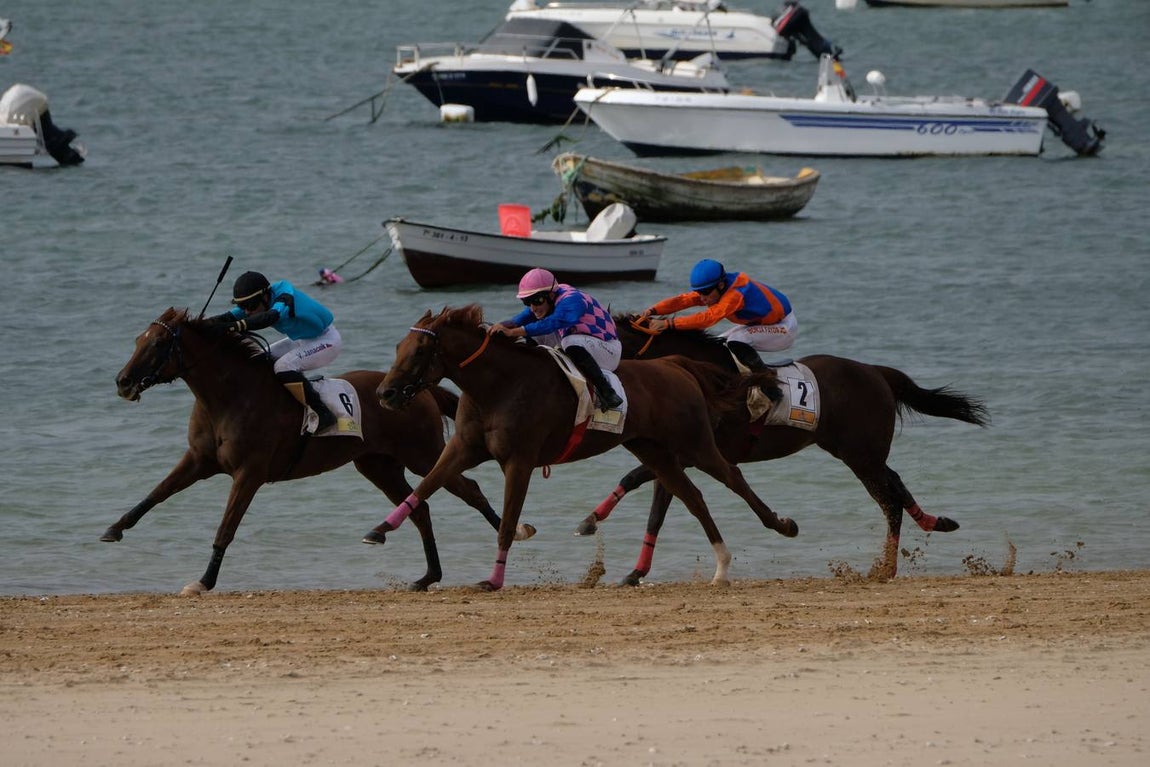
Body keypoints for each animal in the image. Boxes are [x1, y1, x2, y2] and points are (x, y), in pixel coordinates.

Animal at [108, 307, 532, 595]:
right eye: (137, 340)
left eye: (159, 343)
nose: (123, 381)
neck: (229, 396)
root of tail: (420, 391)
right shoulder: (199, 460)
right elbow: (157, 493)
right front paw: (115, 528)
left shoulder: (249, 474)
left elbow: (226, 527)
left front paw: (204, 580)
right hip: (378, 466)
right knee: (420, 507)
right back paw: (428, 576)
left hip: (423, 454)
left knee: (468, 490)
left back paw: (513, 534)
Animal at [370, 304, 798, 590]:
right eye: (397, 346)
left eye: (420, 351)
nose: (385, 393)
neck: (500, 385)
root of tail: (676, 364)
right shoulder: (462, 448)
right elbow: (428, 485)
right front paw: (378, 530)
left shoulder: (519, 461)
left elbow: (507, 523)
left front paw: (493, 578)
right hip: (654, 450)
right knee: (691, 496)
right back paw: (721, 565)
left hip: (693, 444)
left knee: (733, 477)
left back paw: (781, 526)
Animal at [580, 315, 990, 580]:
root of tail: (876, 372)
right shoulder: (678, 454)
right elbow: (652, 505)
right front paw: (629, 564)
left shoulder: (692, 452)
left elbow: (643, 485)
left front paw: (599, 525)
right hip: (859, 452)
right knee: (897, 484)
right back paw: (933, 524)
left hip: (860, 456)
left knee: (889, 499)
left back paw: (887, 566)